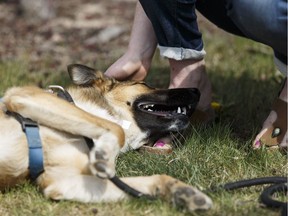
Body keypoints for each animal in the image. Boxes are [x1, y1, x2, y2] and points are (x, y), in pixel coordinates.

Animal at [0, 63, 212, 212]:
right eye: (144, 84)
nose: (196, 91)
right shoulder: (25, 95)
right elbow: (117, 129)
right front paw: (105, 154)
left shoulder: (59, 182)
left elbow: (152, 180)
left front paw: (183, 192)